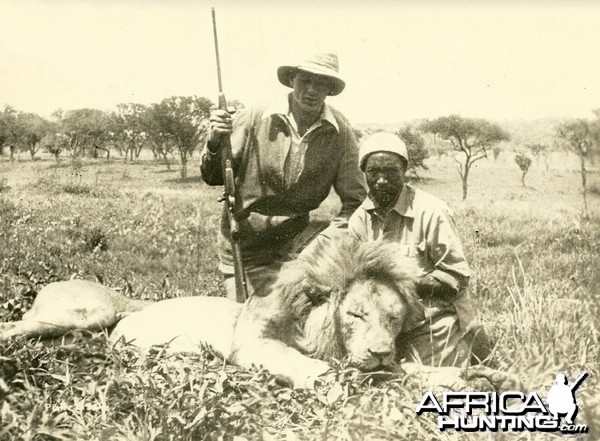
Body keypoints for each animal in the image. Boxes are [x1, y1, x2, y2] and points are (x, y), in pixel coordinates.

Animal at [0, 241, 516, 388]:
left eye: (392, 319)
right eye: (355, 315)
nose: (379, 351)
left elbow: (416, 370)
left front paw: (483, 379)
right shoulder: (249, 342)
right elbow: (310, 367)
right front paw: (333, 380)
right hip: (90, 311)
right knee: (17, 326)